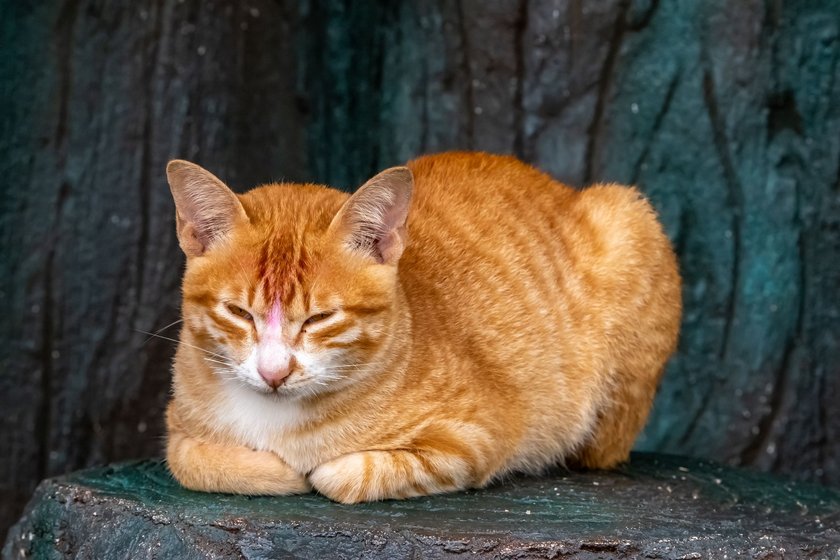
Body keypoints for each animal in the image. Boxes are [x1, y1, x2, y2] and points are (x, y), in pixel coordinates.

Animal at [164, 152, 684, 504]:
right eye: (239, 312)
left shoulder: (474, 438)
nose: (274, 373)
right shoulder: (178, 427)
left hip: (628, 219)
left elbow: (343, 475)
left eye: (319, 318)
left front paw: (306, 471)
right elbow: (191, 460)